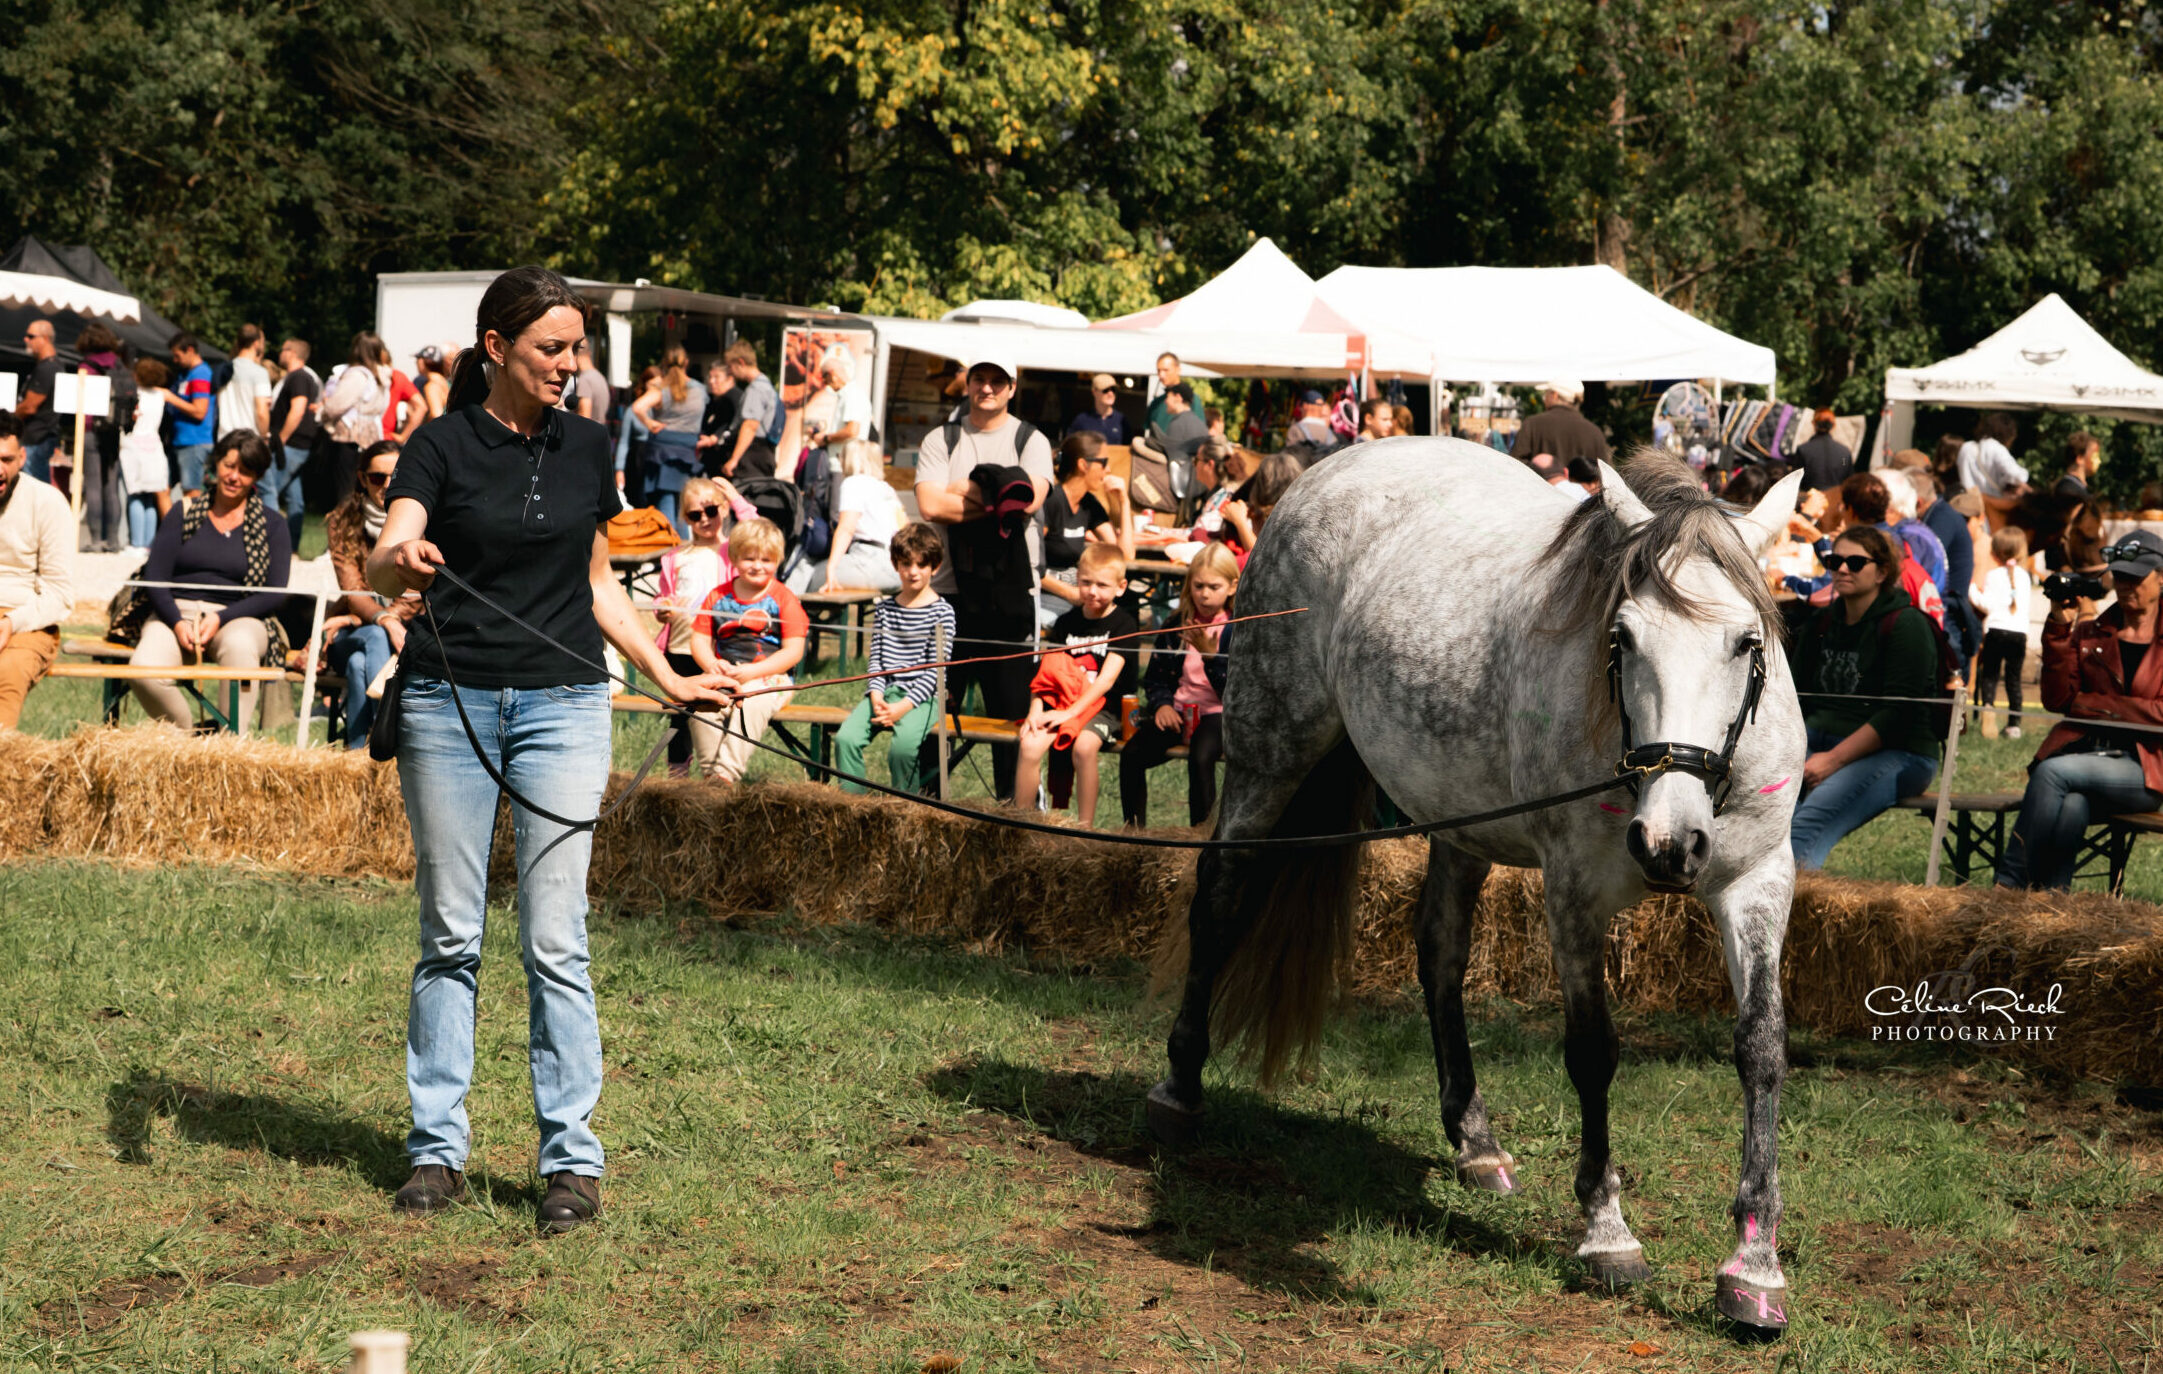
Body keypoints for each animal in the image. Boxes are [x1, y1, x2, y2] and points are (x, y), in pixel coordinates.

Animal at [1148, 442, 1809, 1336]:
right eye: (1622, 636)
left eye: (1746, 641)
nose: (1669, 844)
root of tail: (1333, 468)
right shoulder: (1572, 892)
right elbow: (1592, 1051)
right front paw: (1605, 1232)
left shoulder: (1755, 881)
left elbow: (1760, 1049)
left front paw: (1754, 1267)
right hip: (1268, 756)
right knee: (1218, 898)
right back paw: (1178, 1088)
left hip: (1456, 823)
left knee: (1439, 954)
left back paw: (1474, 1139)